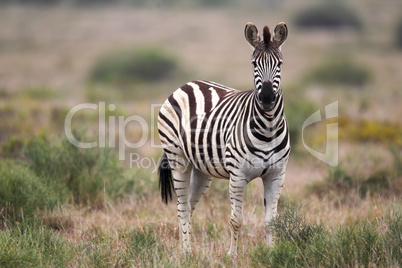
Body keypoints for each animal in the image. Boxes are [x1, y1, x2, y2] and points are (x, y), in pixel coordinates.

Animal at [156, 22, 288, 255]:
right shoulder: (238, 175)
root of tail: (187, 84)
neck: (268, 128)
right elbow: (236, 220)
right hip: (178, 159)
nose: (266, 98)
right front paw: (232, 256)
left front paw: (273, 254)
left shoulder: (277, 174)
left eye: (279, 63)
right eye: (254, 63)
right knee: (182, 207)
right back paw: (187, 252)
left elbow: (271, 221)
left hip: (201, 168)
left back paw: (188, 249)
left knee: (189, 206)